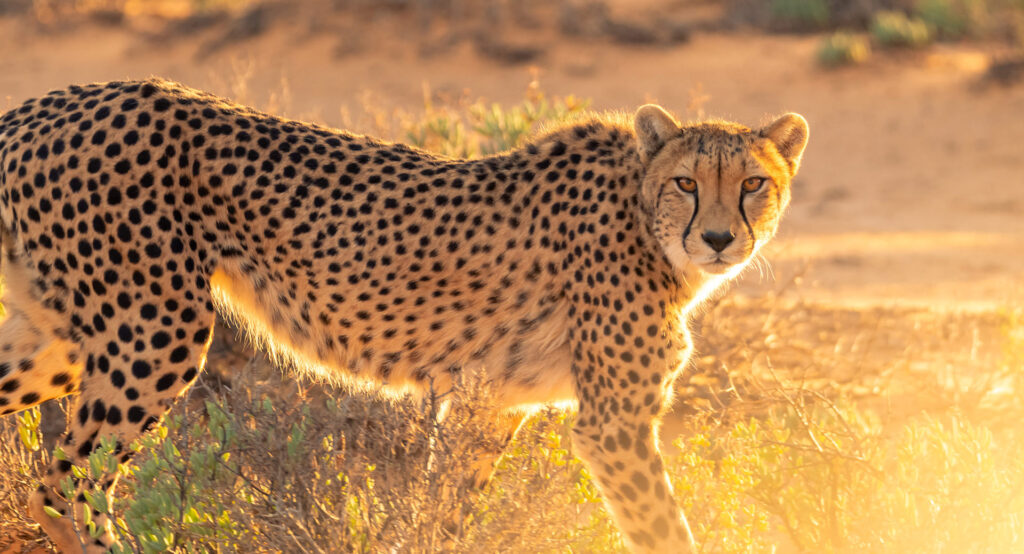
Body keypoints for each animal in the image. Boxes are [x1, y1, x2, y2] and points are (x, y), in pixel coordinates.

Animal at [0, 78, 807, 553]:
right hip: (154, 330)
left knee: (51, 465)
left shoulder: (490, 404)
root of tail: (50, 101)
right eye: (686, 182)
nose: (719, 238)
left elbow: (446, 512)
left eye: (753, 183)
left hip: (62, 340)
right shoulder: (613, 425)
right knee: (67, 481)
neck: (643, 217)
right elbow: (665, 528)